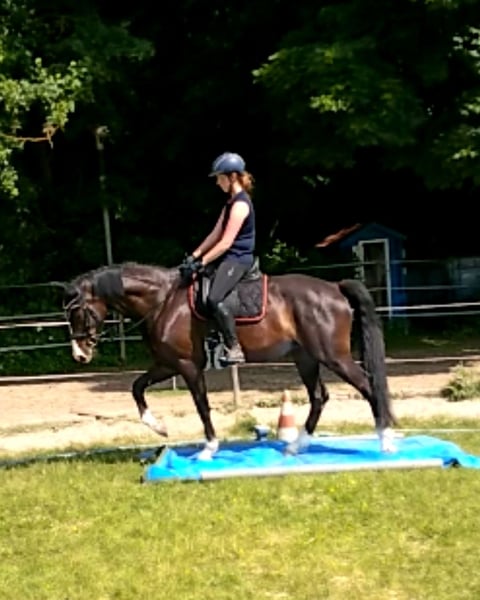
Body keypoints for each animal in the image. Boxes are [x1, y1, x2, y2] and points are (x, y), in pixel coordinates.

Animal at [62, 260, 398, 460]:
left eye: (77, 311)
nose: (80, 355)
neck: (163, 300)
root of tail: (333, 287)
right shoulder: (168, 364)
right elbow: (136, 387)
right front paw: (159, 428)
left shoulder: (187, 366)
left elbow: (202, 406)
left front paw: (208, 448)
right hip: (305, 357)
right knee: (319, 396)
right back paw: (296, 446)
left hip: (334, 356)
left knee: (369, 387)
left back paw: (385, 441)